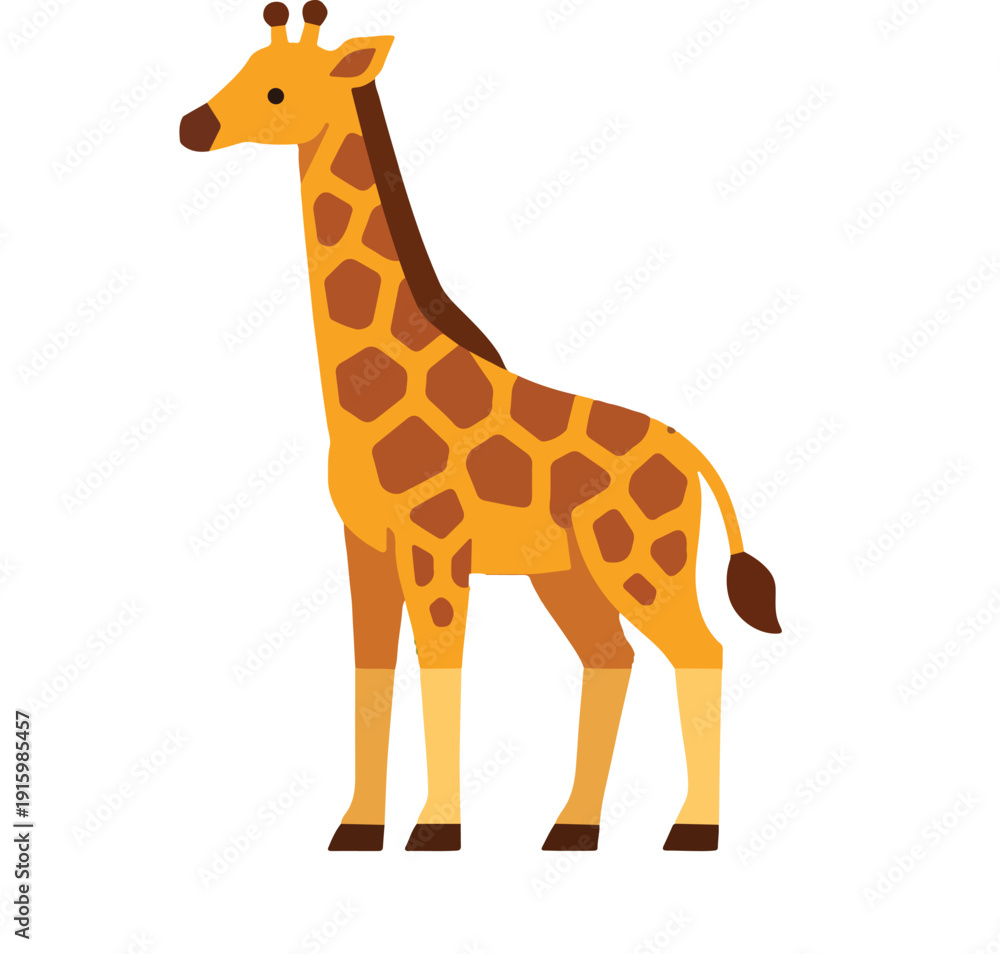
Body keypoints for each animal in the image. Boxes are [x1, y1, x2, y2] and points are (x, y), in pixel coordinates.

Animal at [180, 1, 781, 853]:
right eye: (243, 72)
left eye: (274, 91)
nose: (192, 125)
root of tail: (693, 457)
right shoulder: (366, 544)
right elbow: (371, 672)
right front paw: (359, 828)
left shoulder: (436, 542)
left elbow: (442, 668)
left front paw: (436, 830)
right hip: (567, 572)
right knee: (612, 658)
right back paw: (573, 827)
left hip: (642, 562)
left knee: (702, 652)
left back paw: (693, 830)